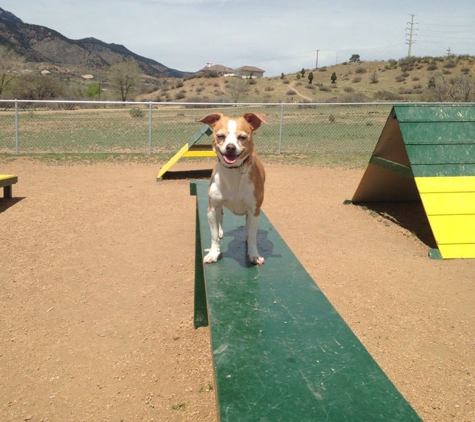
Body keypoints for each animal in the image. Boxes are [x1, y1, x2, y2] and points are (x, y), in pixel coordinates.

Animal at [198, 112, 268, 264]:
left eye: (242, 137)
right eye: (220, 136)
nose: (230, 147)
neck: (233, 171)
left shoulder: (254, 210)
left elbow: (253, 236)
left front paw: (254, 255)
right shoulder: (212, 208)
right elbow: (213, 236)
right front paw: (213, 253)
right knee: (221, 218)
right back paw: (220, 231)